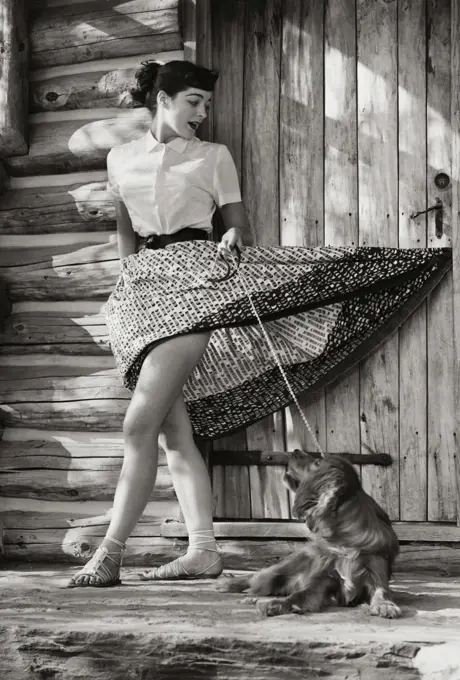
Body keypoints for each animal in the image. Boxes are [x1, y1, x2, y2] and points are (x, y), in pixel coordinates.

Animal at [217, 448, 400, 620]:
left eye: (318, 462)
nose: (295, 450)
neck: (345, 541)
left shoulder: (376, 573)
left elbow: (382, 592)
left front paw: (385, 605)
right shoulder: (323, 580)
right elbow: (298, 595)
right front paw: (277, 604)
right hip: (283, 569)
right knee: (259, 577)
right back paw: (230, 585)